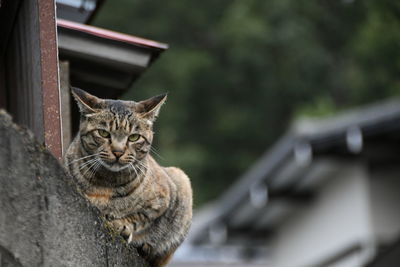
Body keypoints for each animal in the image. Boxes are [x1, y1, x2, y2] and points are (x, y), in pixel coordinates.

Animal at [63, 87, 192, 266]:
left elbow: (140, 217)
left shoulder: (162, 201)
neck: (106, 182)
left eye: (134, 137)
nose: (118, 152)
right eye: (103, 133)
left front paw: (122, 225)